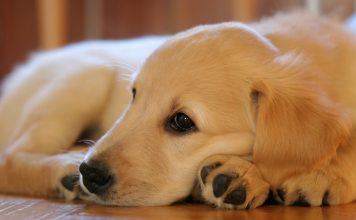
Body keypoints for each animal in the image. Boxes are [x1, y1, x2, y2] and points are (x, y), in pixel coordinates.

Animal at [0, 12, 356, 210]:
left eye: (182, 121)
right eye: (134, 96)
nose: (90, 173)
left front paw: (325, 175)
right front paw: (243, 174)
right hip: (85, 77)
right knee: (9, 157)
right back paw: (64, 168)